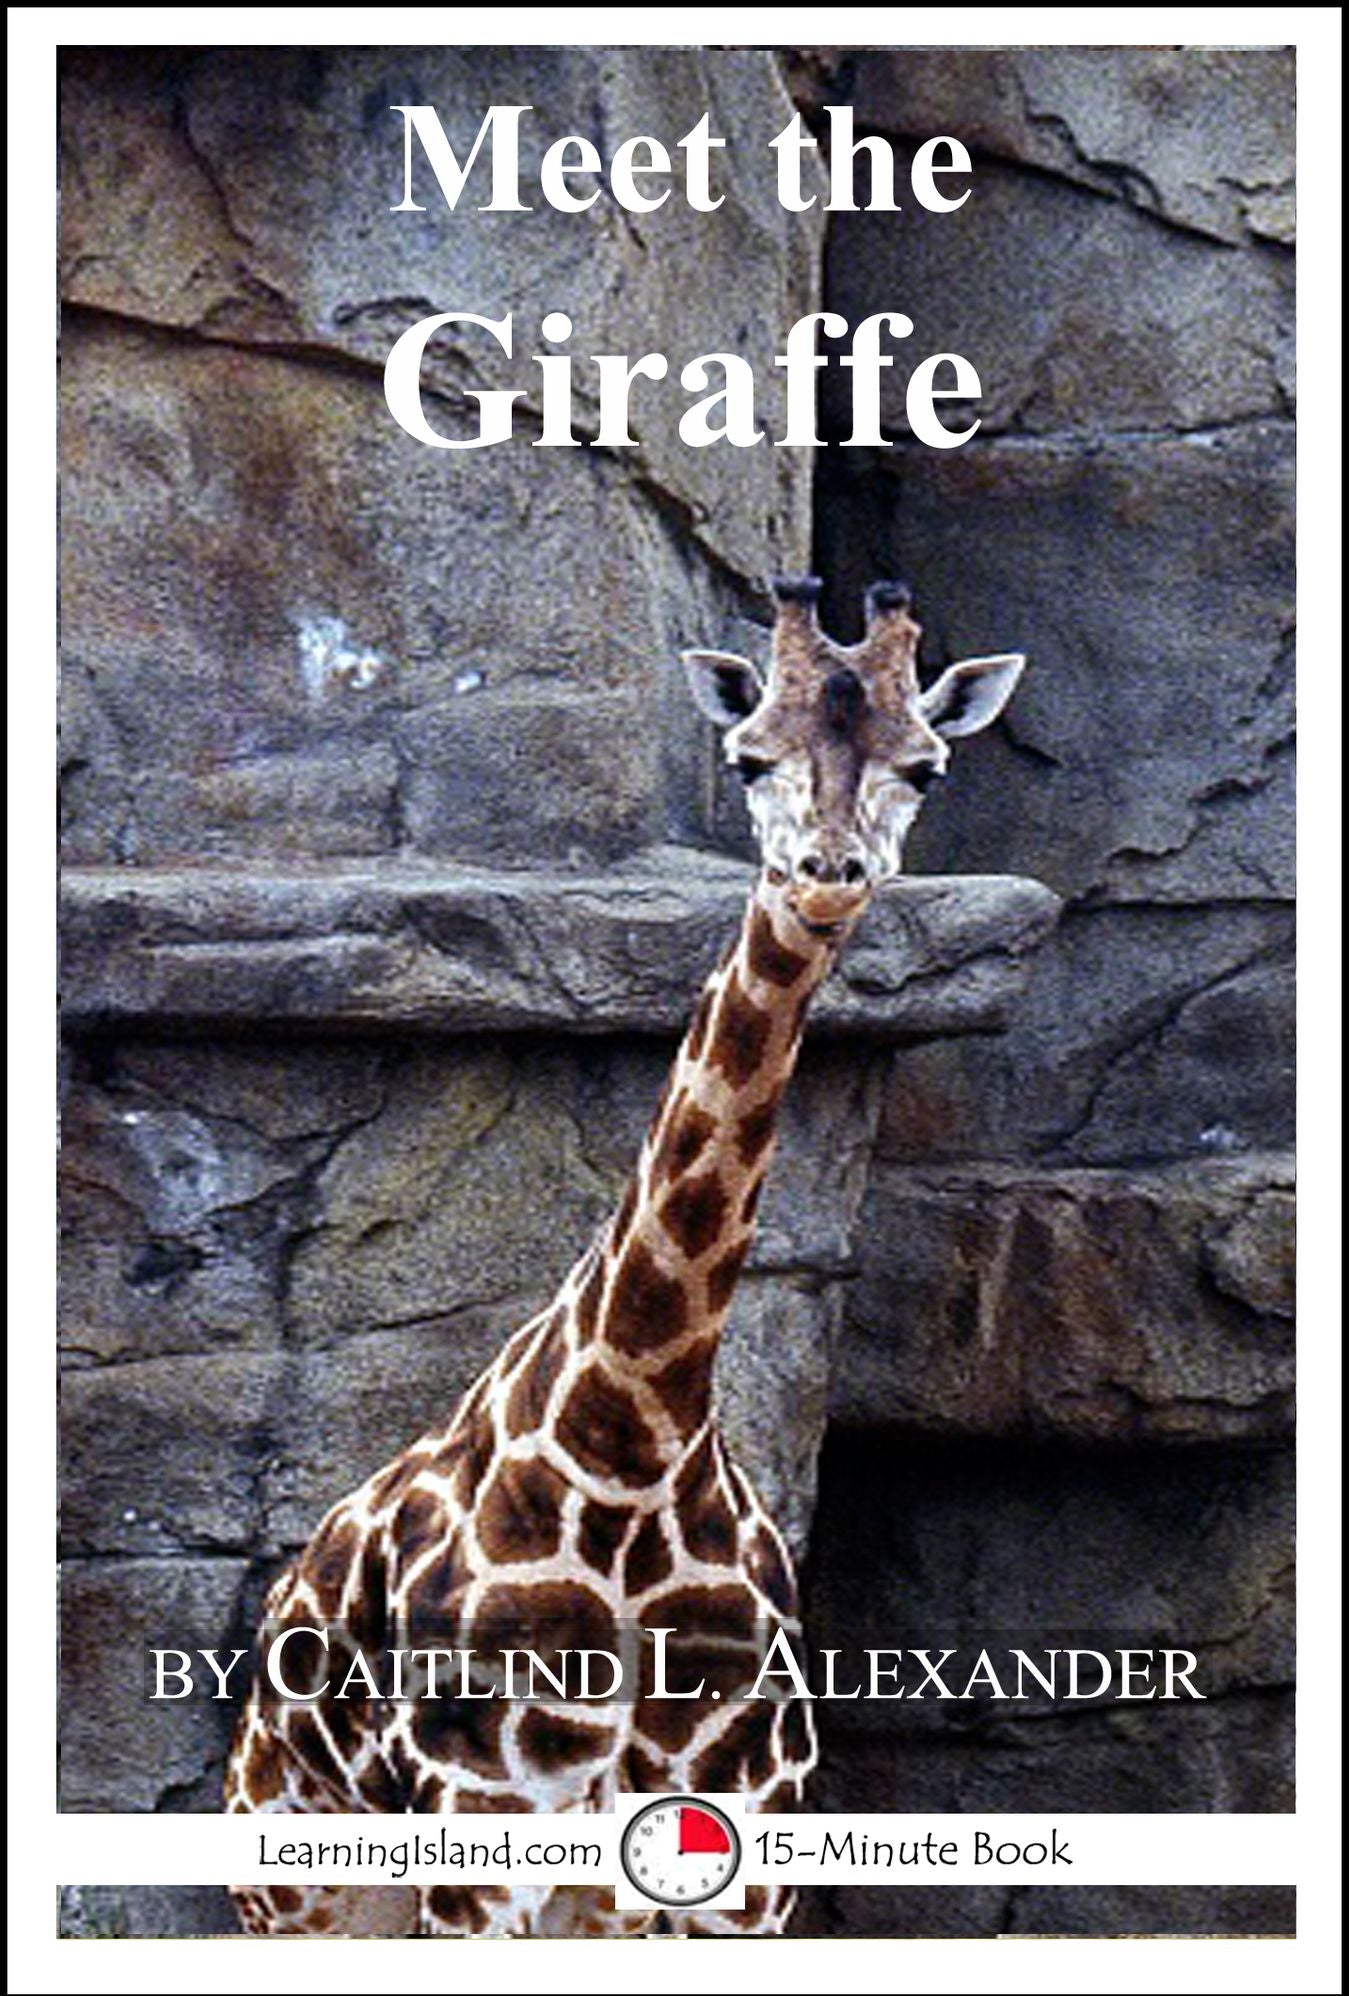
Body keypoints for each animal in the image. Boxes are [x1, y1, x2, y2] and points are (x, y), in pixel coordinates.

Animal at [224, 576, 1025, 1937]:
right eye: (747, 755)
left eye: (922, 764)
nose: (827, 873)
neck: (635, 1455)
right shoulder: (482, 1854)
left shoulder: (740, 1875)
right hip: (296, 1884)